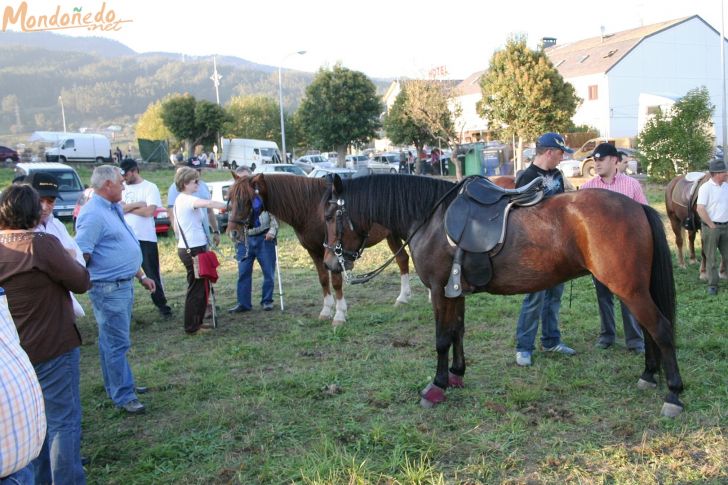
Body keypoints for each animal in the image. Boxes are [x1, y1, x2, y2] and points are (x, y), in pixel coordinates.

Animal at [225, 174, 412, 326]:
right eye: (230, 199)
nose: (233, 232)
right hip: (392, 236)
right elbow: (323, 279)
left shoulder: (335, 252)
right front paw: (326, 311)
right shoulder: (314, 251)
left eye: (248, 199)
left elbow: (336, 282)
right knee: (402, 259)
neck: (311, 208)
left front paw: (339, 315)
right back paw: (402, 298)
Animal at [322, 173, 684, 416]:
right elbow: (457, 332)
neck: (431, 219)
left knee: (662, 330)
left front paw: (436, 386)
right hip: (634, 288)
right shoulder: (455, 292)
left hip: (629, 288)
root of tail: (637, 206)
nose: (329, 262)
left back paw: (673, 395)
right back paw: (649, 376)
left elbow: (441, 338)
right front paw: (456, 374)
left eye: (328, 215)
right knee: (650, 332)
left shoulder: (440, 290)